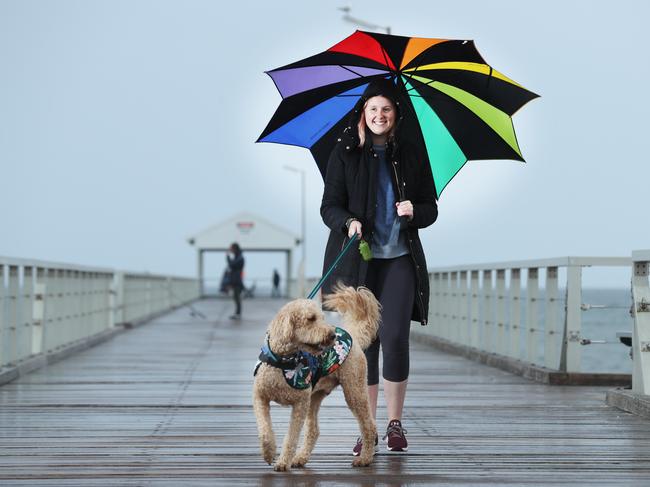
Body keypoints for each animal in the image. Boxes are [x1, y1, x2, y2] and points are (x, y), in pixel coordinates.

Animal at [249, 286, 380, 472]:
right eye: (311, 318)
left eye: (322, 317)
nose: (332, 335)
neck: (284, 361)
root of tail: (353, 337)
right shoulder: (260, 397)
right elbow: (264, 428)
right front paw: (268, 452)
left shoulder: (300, 404)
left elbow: (291, 436)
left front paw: (282, 462)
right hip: (315, 398)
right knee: (314, 430)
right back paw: (301, 458)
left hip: (354, 389)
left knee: (369, 425)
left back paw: (364, 459)